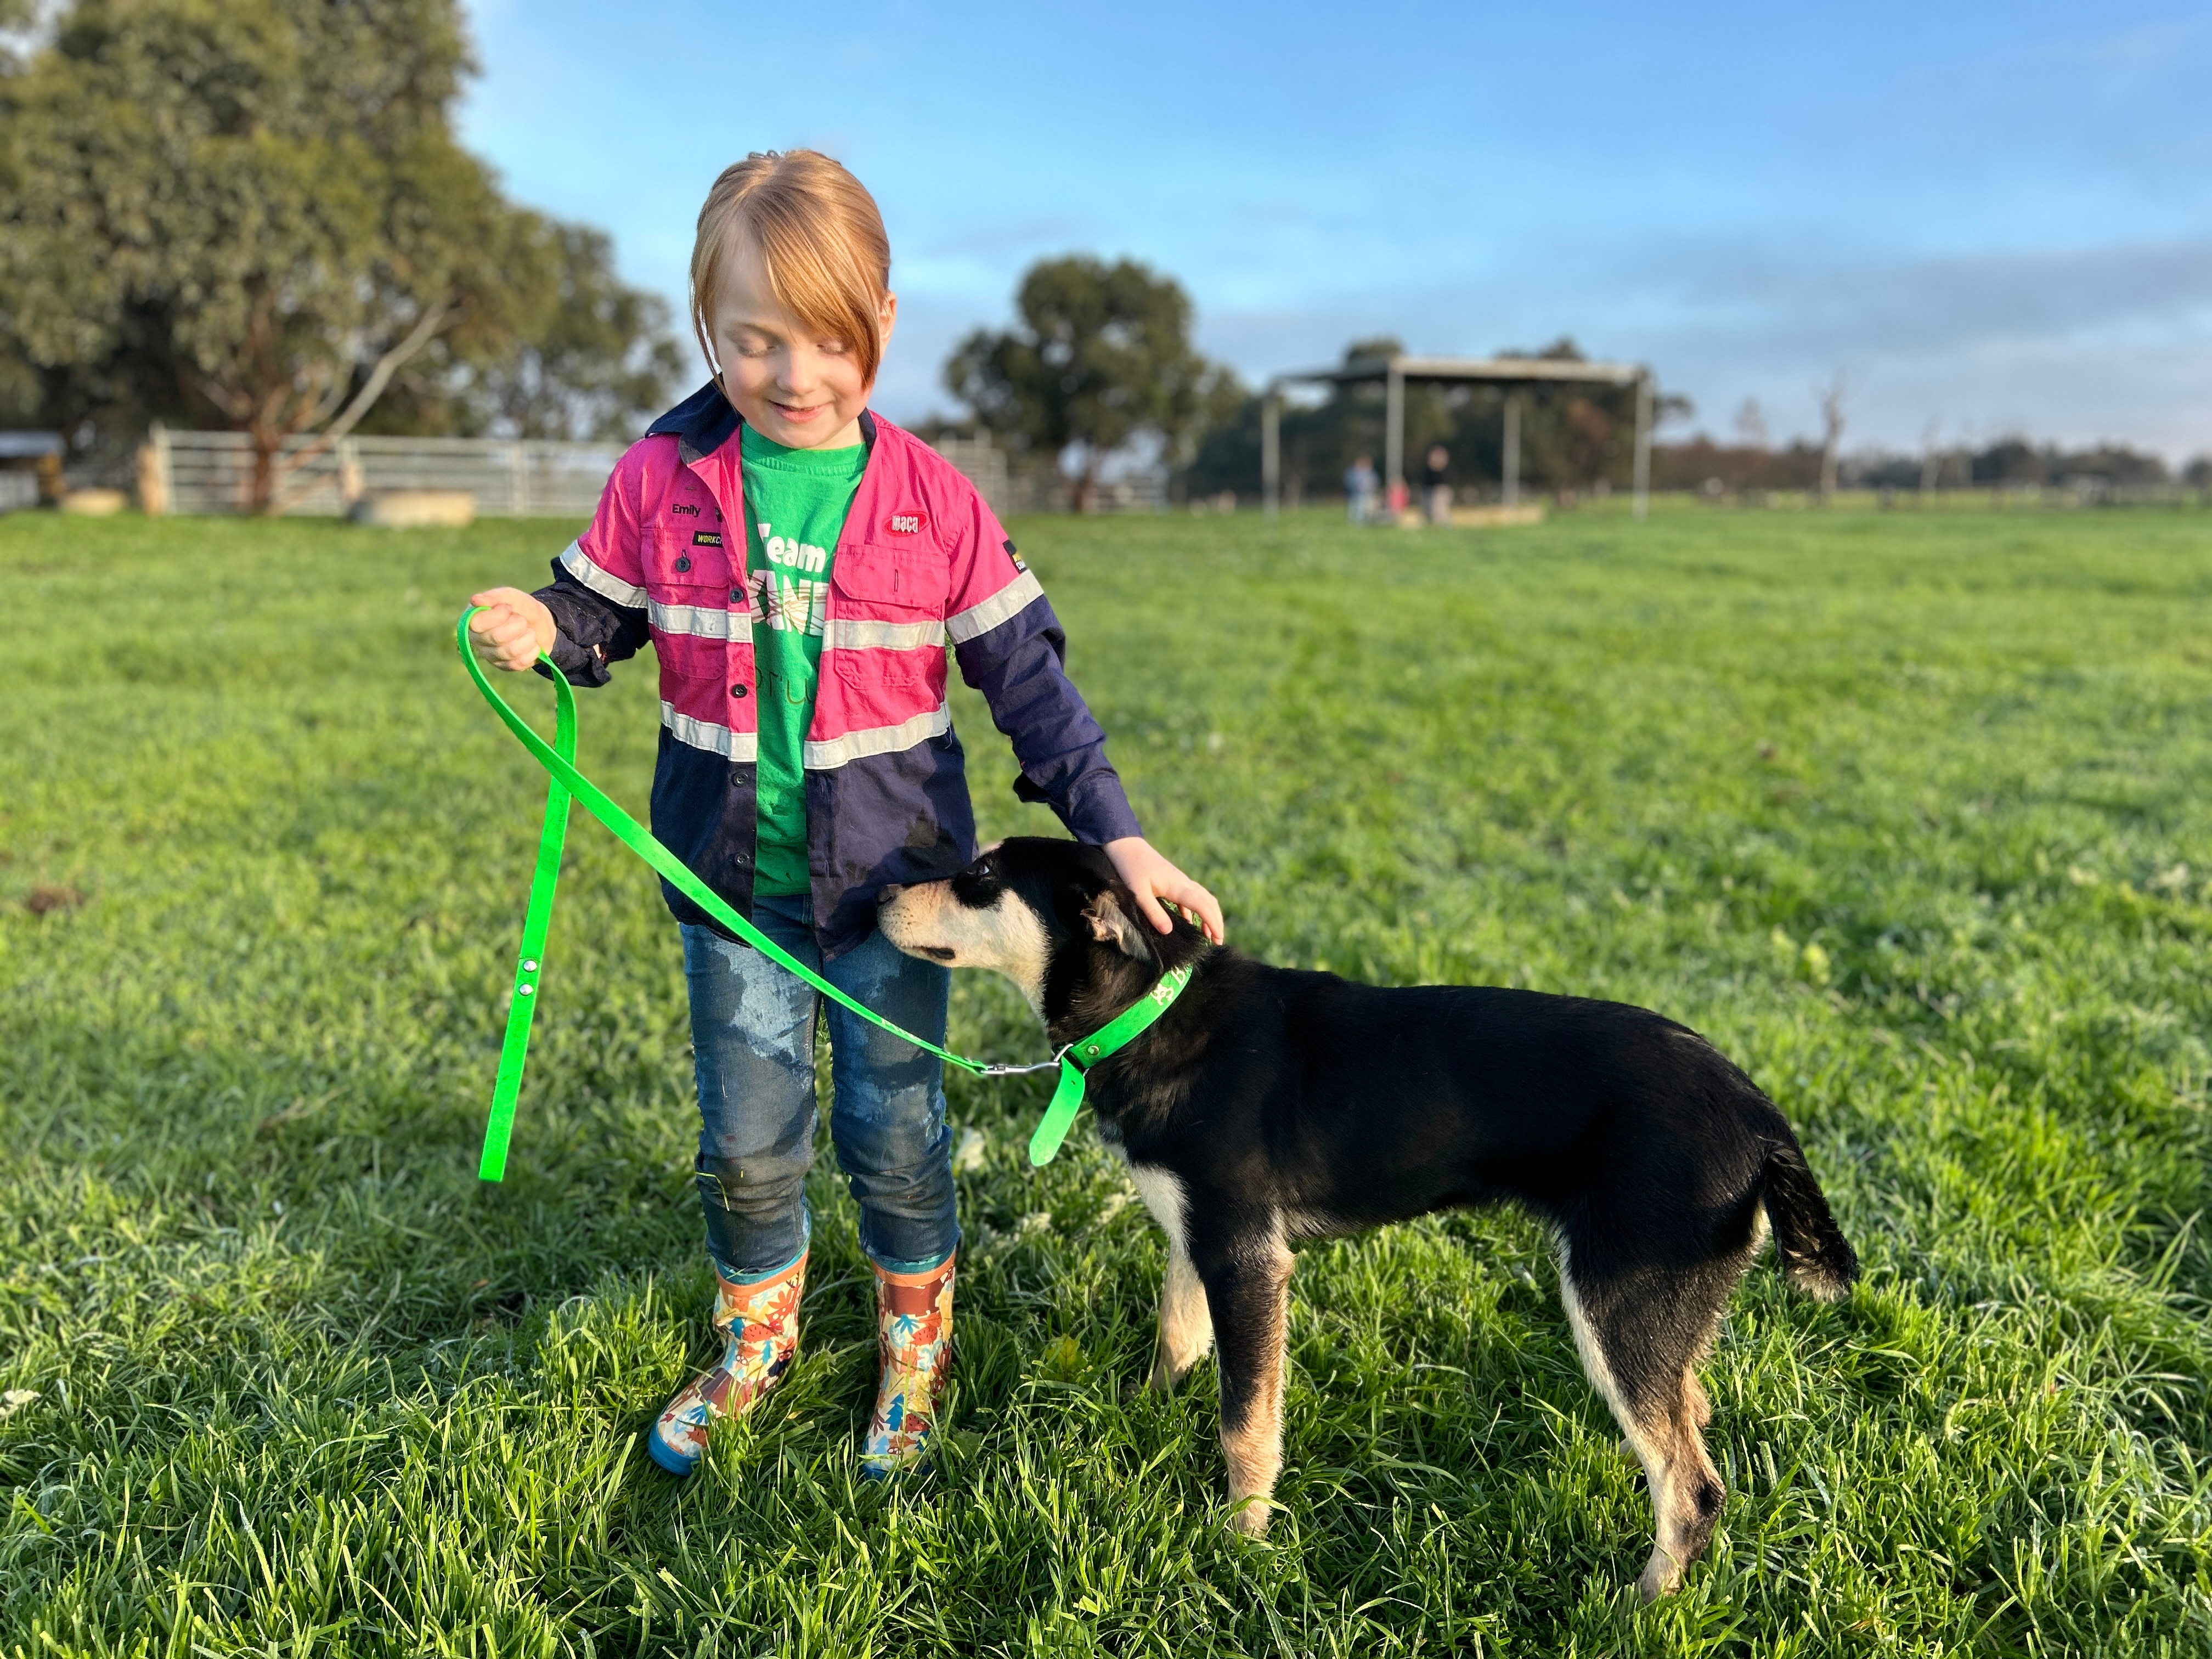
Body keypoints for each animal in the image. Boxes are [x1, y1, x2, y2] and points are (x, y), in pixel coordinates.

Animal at [871, 845, 1858, 1601]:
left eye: (981, 876)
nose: (871, 895)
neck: (1147, 1011)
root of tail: (1760, 1115)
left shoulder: (1246, 1259)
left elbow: (1245, 1418)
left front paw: (1241, 1542)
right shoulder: (1199, 1240)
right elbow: (1177, 1342)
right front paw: (1139, 1419)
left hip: (1618, 1303)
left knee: (1692, 1488)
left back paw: (1639, 1605)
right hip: (1659, 1311)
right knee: (1686, 1417)